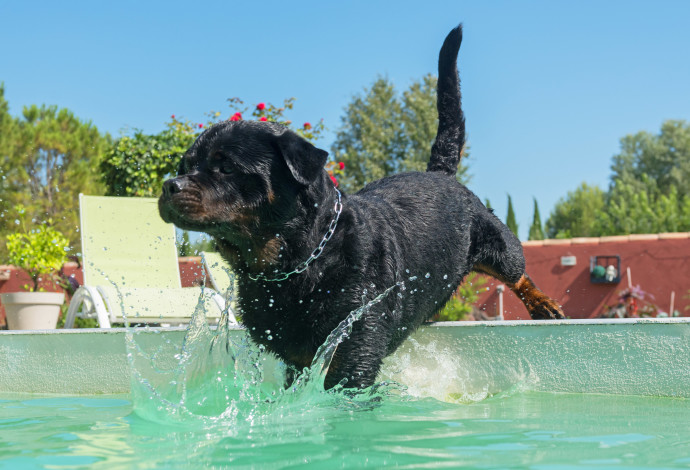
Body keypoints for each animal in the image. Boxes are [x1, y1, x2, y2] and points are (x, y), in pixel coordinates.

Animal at [159, 25, 560, 390]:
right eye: (185, 166)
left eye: (226, 166)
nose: (169, 184)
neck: (304, 259)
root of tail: (439, 173)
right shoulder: (294, 358)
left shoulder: (356, 343)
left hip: (492, 237)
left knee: (517, 270)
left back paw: (543, 305)